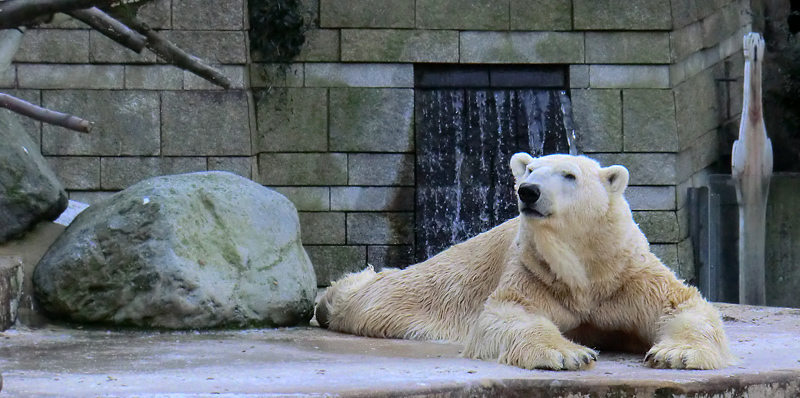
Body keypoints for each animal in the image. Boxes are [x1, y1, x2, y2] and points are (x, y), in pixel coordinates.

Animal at [318, 152, 732, 370]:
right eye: (531, 169)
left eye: (569, 175)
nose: (527, 191)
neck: (586, 270)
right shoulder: (535, 272)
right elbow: (509, 315)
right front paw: (569, 353)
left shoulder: (628, 275)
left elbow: (684, 305)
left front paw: (676, 353)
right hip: (421, 286)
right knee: (374, 295)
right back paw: (330, 299)